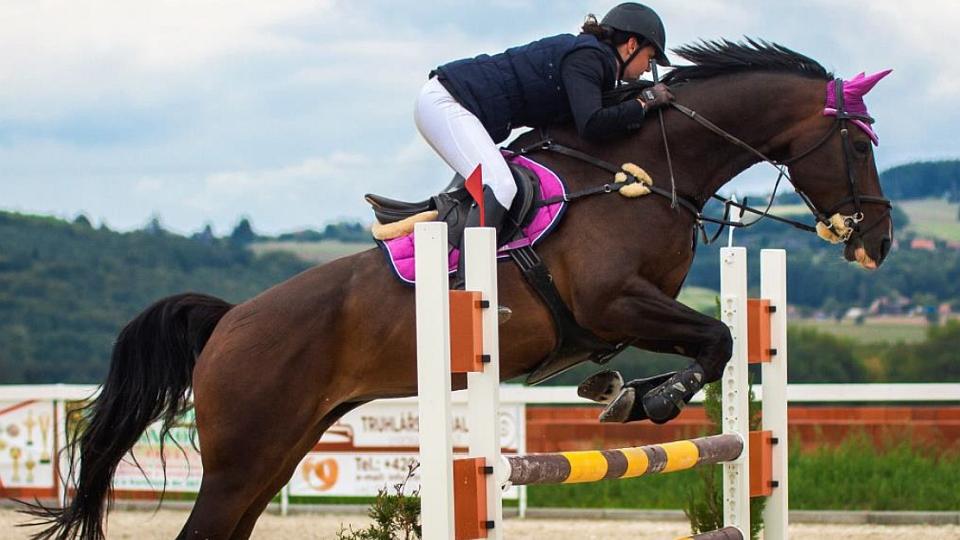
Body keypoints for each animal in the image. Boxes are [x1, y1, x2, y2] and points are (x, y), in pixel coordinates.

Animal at [25, 40, 893, 540]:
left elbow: (714, 341)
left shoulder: (628, 313)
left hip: (277, 454)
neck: (640, 171)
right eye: (858, 144)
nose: (879, 241)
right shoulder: (611, 302)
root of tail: (230, 319)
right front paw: (650, 398)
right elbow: (717, 339)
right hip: (243, 459)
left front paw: (624, 390)